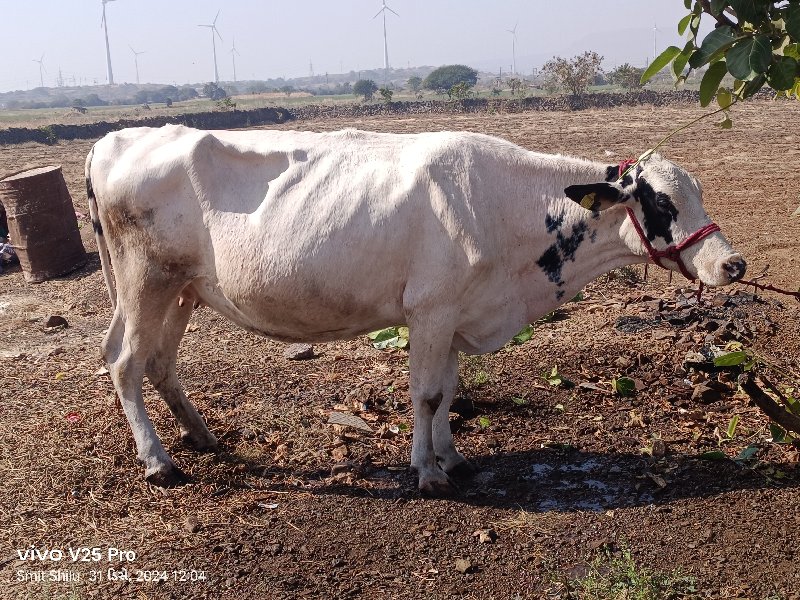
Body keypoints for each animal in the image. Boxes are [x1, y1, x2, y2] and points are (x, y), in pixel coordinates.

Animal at [86, 124, 744, 494]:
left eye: (698, 193)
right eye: (663, 202)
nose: (732, 264)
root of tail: (117, 139)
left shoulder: (455, 316)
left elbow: (449, 392)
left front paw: (452, 458)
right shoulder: (430, 309)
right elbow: (426, 395)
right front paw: (426, 473)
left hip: (183, 288)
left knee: (158, 363)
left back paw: (200, 437)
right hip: (144, 279)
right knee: (124, 363)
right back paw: (158, 462)